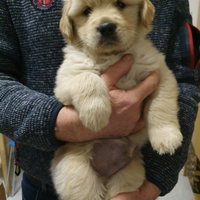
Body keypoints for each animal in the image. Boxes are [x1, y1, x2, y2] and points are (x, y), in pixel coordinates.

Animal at [51, 0, 183, 200]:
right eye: (86, 11)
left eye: (120, 4)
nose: (106, 27)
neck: (112, 55)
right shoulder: (65, 81)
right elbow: (88, 78)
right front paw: (97, 114)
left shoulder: (160, 73)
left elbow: (161, 105)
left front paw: (166, 137)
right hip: (75, 172)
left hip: (127, 176)